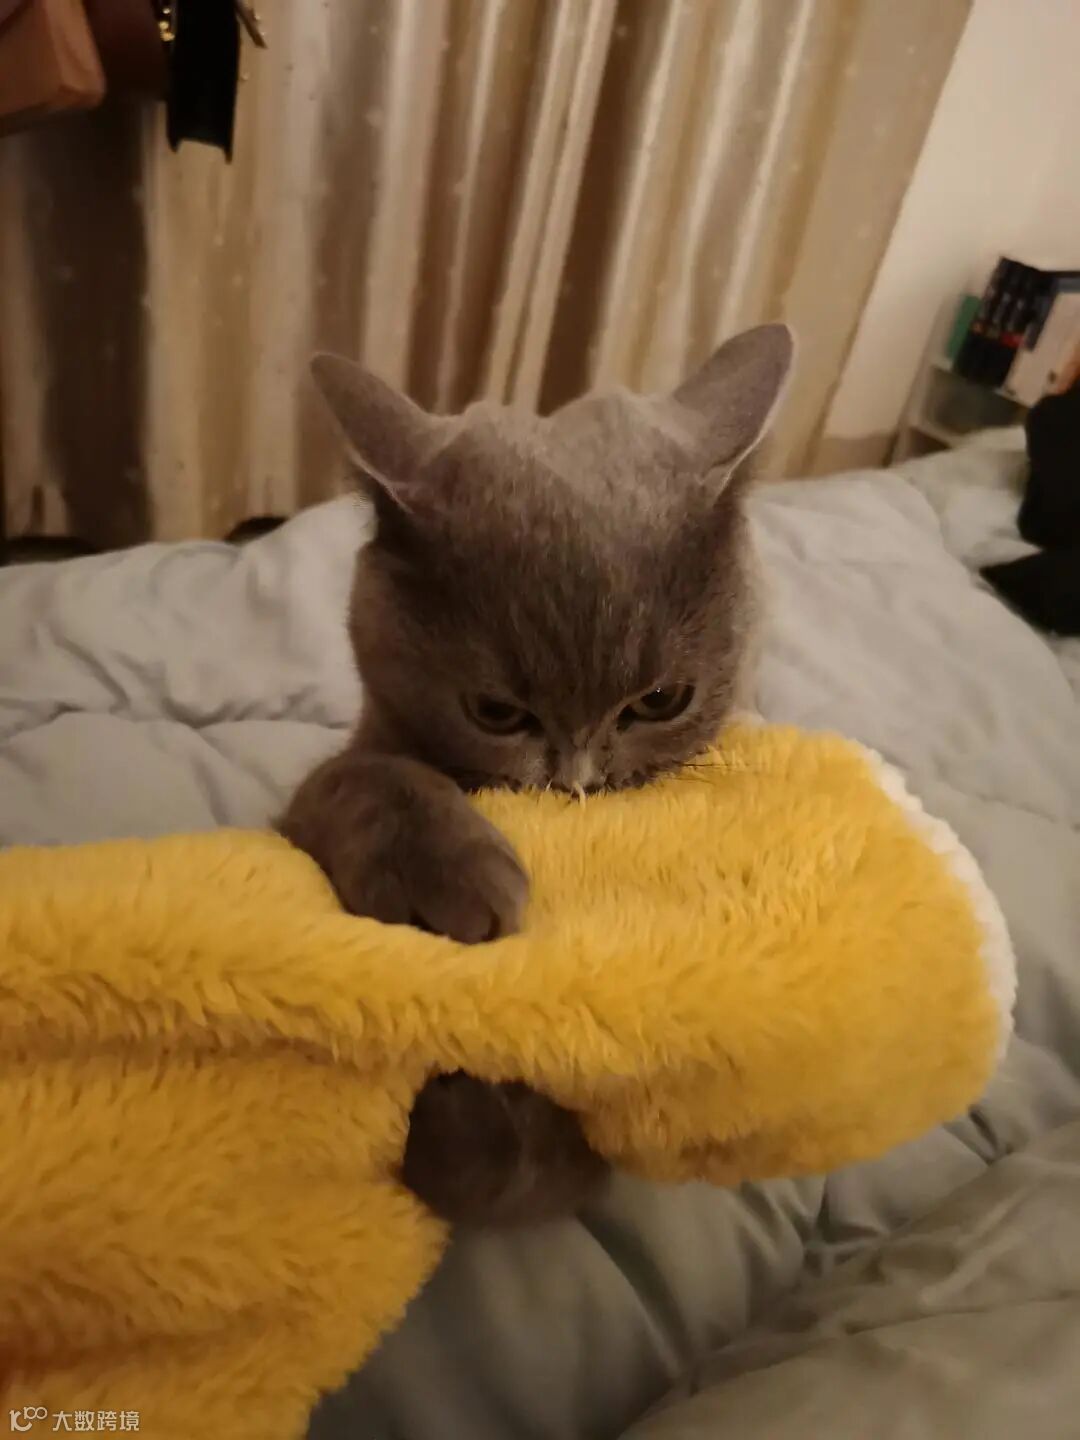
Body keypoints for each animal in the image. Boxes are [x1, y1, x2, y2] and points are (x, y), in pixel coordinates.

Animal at [280, 323, 793, 1224]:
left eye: (660, 700)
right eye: (496, 713)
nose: (576, 782)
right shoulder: (319, 790)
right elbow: (365, 781)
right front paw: (443, 881)